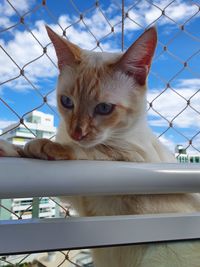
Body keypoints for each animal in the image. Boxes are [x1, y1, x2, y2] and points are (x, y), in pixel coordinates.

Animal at [0, 25, 200, 267]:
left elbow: (91, 150)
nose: (76, 133)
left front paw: (48, 145)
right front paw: (10, 148)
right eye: (67, 102)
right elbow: (21, 152)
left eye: (104, 108)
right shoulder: (81, 201)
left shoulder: (133, 158)